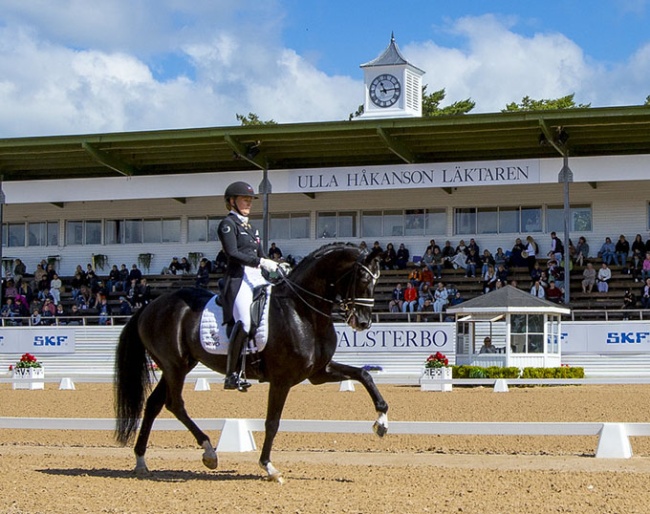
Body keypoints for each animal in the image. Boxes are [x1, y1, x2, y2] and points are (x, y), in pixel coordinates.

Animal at [112, 242, 384, 482]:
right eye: (362, 278)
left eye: (376, 281)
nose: (362, 322)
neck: (301, 310)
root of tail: (150, 305)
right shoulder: (282, 379)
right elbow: (272, 422)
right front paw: (269, 467)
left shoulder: (319, 372)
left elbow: (364, 375)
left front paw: (381, 422)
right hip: (174, 366)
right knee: (174, 404)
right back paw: (209, 453)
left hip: (177, 366)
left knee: (154, 404)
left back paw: (141, 461)